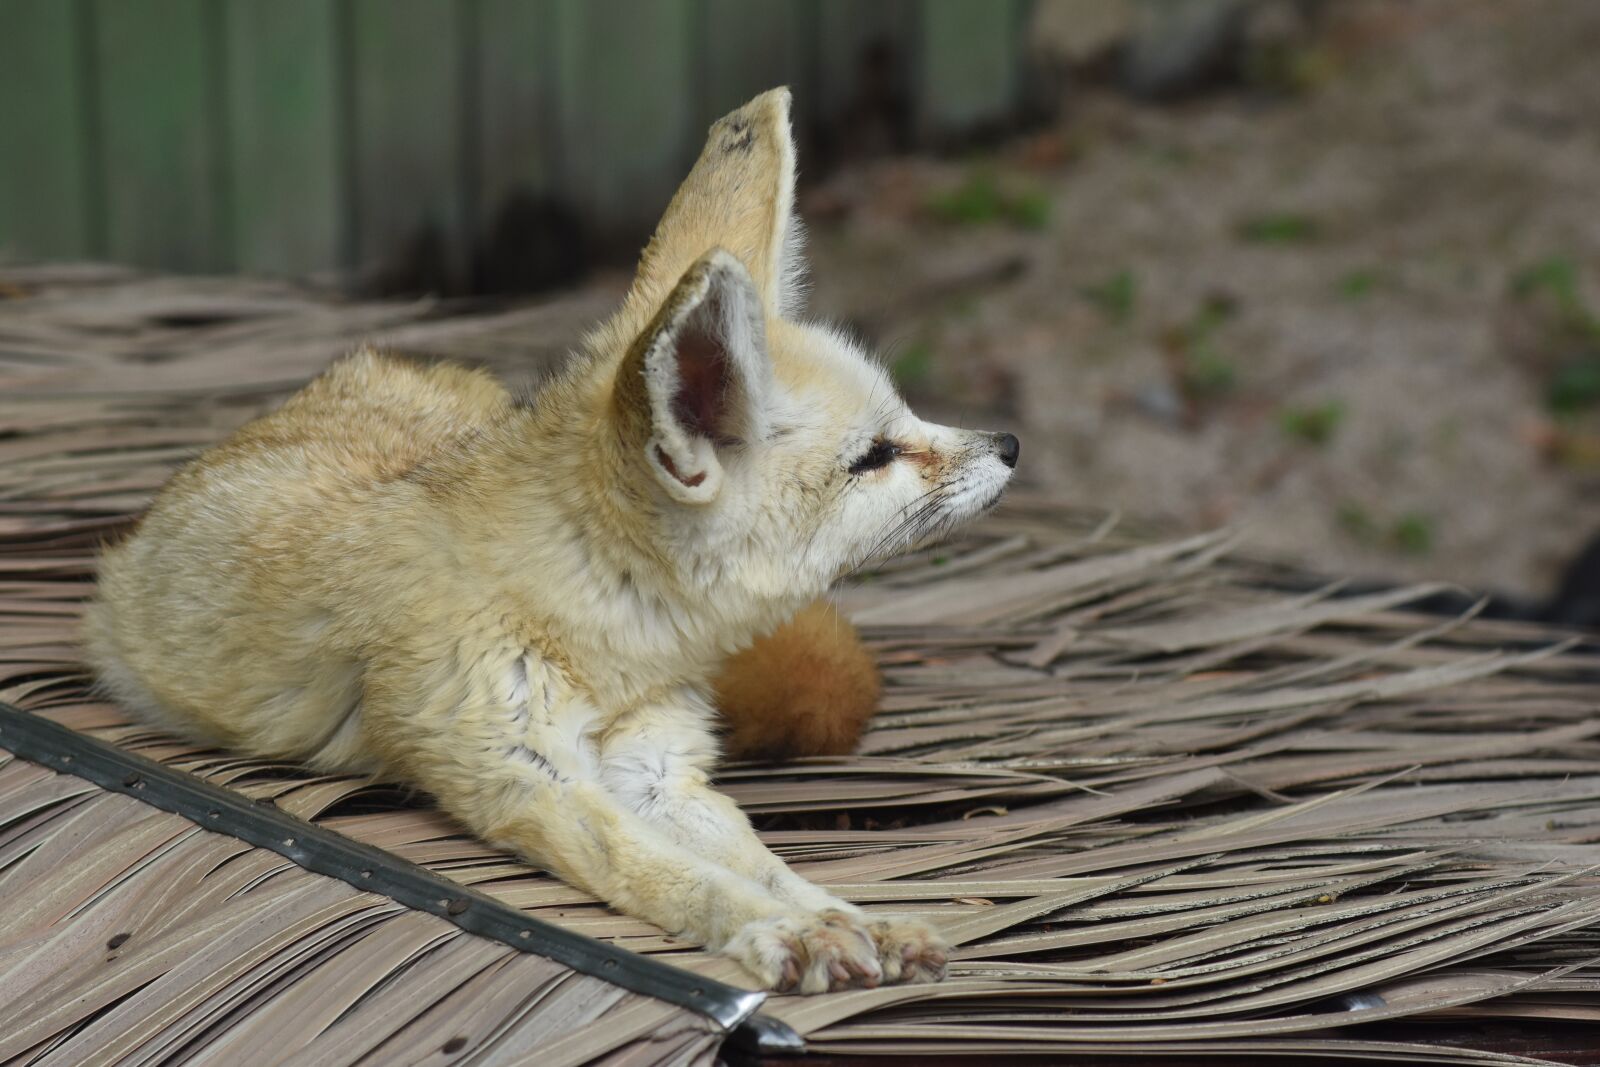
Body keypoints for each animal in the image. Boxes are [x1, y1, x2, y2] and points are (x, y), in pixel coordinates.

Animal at [84, 88, 1018, 993]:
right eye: (876, 456)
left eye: (903, 421)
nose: (1010, 444)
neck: (608, 639)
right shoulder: (524, 775)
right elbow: (675, 875)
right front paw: (786, 931)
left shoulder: (658, 772)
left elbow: (764, 864)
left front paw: (851, 916)